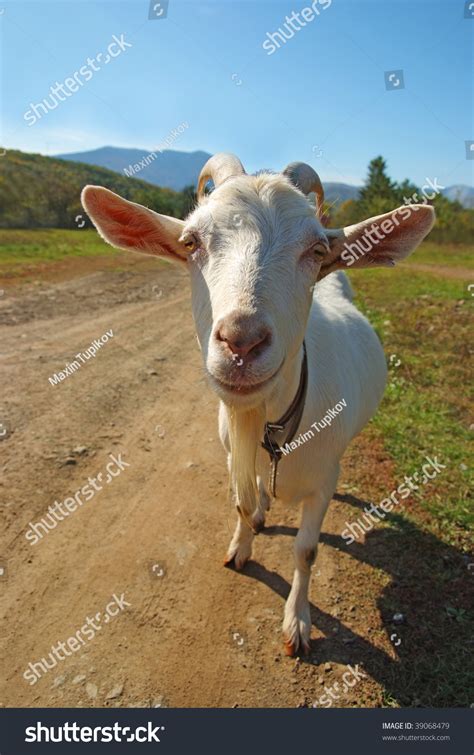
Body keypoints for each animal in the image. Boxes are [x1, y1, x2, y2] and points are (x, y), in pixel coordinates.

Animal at [80, 154, 434, 656]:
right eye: (190, 242)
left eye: (318, 250)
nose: (241, 341)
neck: (277, 424)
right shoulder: (233, 452)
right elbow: (242, 506)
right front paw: (242, 548)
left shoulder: (323, 482)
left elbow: (306, 550)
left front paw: (297, 624)